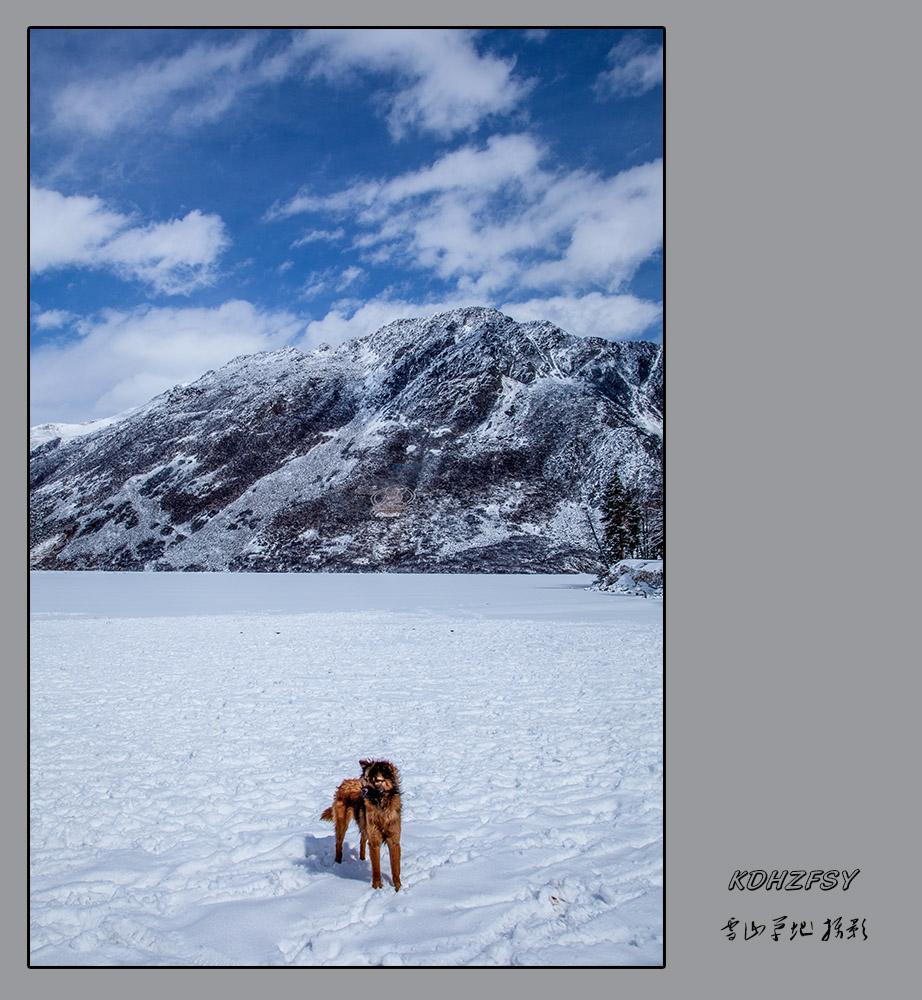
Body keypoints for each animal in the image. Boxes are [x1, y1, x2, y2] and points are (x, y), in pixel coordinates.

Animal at [320, 756, 398, 892]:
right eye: (366, 779)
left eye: (378, 780)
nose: (363, 790)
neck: (381, 809)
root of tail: (344, 783)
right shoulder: (375, 842)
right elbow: (376, 869)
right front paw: (377, 888)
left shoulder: (394, 840)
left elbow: (396, 869)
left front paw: (399, 889)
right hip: (342, 825)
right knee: (338, 845)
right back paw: (338, 864)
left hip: (364, 826)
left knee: (362, 841)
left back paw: (362, 860)